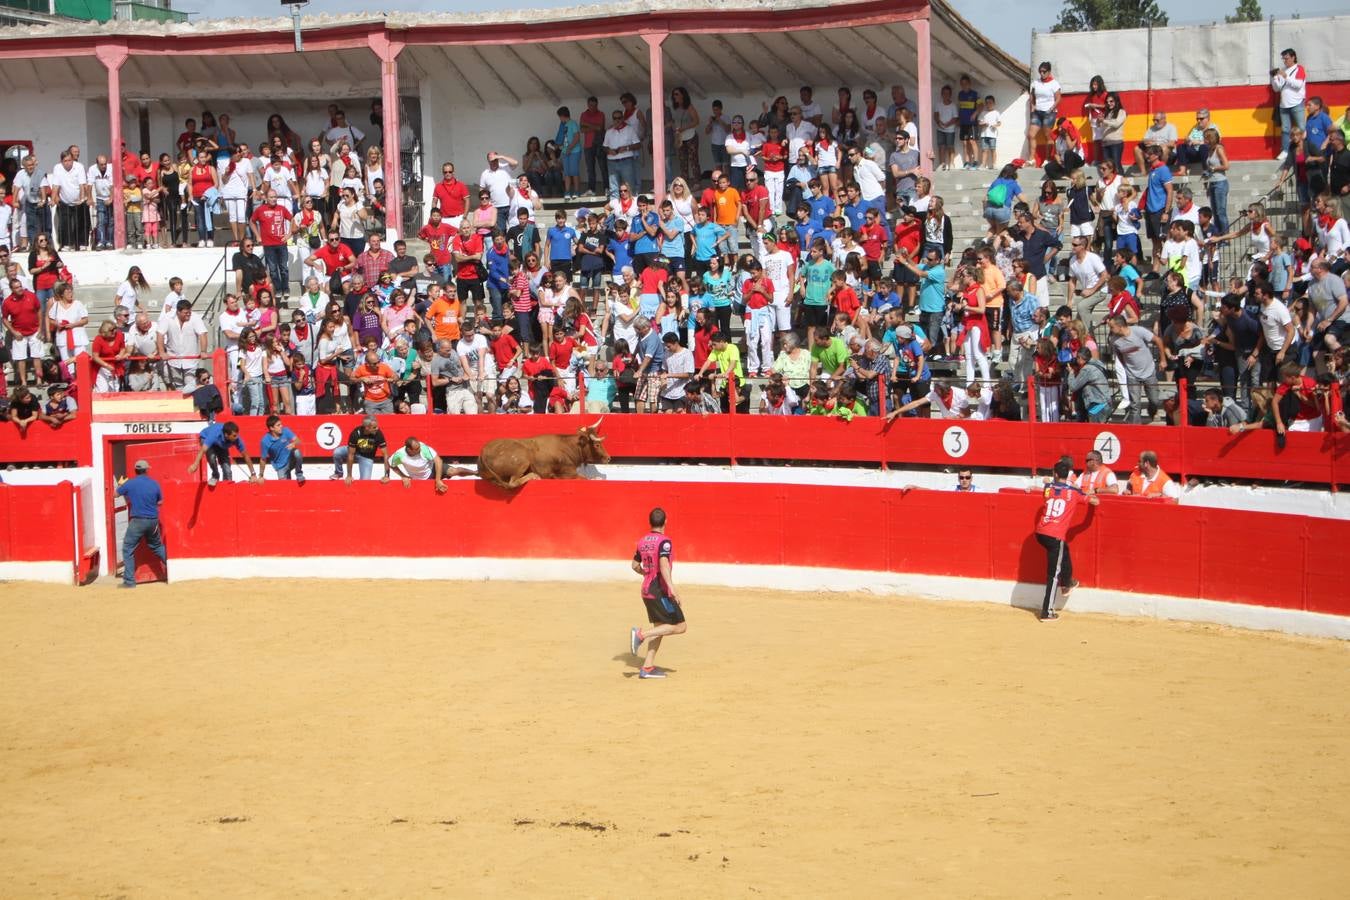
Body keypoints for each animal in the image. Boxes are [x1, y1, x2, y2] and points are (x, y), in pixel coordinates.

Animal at [445, 420, 610, 488]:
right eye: (597, 444)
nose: (608, 458)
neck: (567, 447)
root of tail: (483, 452)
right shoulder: (568, 473)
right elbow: (585, 478)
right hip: (522, 460)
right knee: (513, 482)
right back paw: (534, 476)